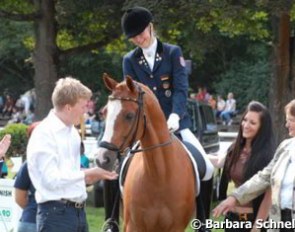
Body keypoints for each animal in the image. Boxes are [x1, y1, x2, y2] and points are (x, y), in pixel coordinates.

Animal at [97, 74, 197, 232]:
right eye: (104, 113)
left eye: (129, 115)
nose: (102, 158)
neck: (160, 175)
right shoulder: (133, 226)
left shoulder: (175, 227)